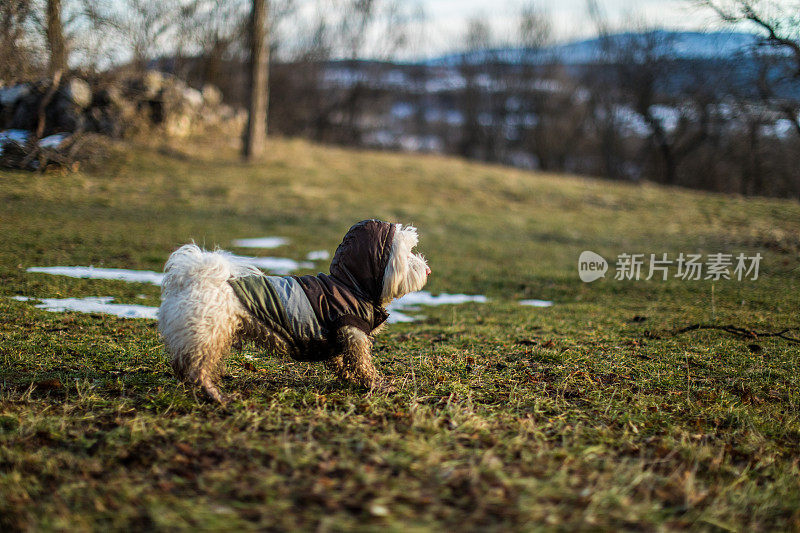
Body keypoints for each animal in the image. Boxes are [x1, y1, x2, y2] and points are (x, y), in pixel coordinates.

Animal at [158, 218, 432, 402]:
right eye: (408, 254)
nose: (428, 270)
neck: (351, 284)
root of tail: (195, 278)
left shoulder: (338, 338)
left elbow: (341, 362)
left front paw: (349, 379)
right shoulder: (352, 331)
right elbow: (362, 363)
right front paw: (377, 385)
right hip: (207, 334)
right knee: (196, 369)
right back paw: (214, 394)